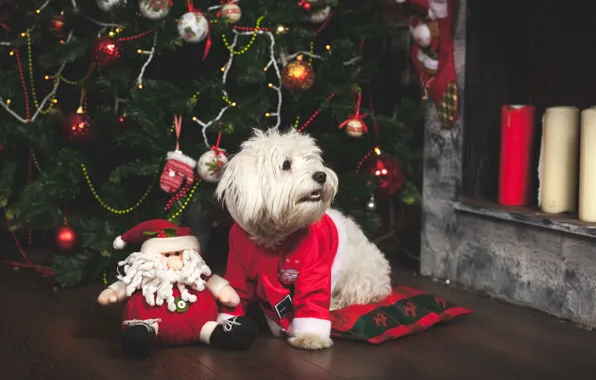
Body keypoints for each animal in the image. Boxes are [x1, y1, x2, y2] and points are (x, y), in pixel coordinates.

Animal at [214, 127, 392, 350]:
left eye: (310, 159)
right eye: (286, 164)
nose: (321, 175)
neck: (274, 235)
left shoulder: (315, 269)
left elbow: (312, 299)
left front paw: (310, 336)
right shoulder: (239, 266)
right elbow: (236, 294)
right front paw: (228, 324)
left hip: (360, 276)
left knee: (355, 297)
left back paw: (334, 304)